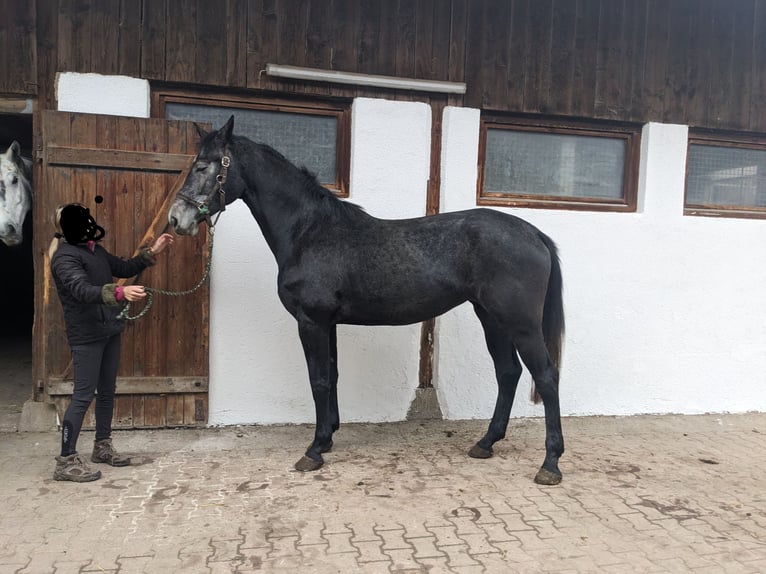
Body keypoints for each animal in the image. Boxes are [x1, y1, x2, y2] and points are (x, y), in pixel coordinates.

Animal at [168, 116, 566, 485]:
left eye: (203, 166)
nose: (175, 219)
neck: (309, 233)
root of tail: (534, 233)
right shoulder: (327, 324)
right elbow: (332, 375)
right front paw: (328, 437)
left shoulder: (311, 321)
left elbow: (318, 379)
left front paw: (314, 450)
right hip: (491, 318)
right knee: (508, 372)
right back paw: (486, 443)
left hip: (520, 323)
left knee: (545, 376)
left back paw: (550, 464)